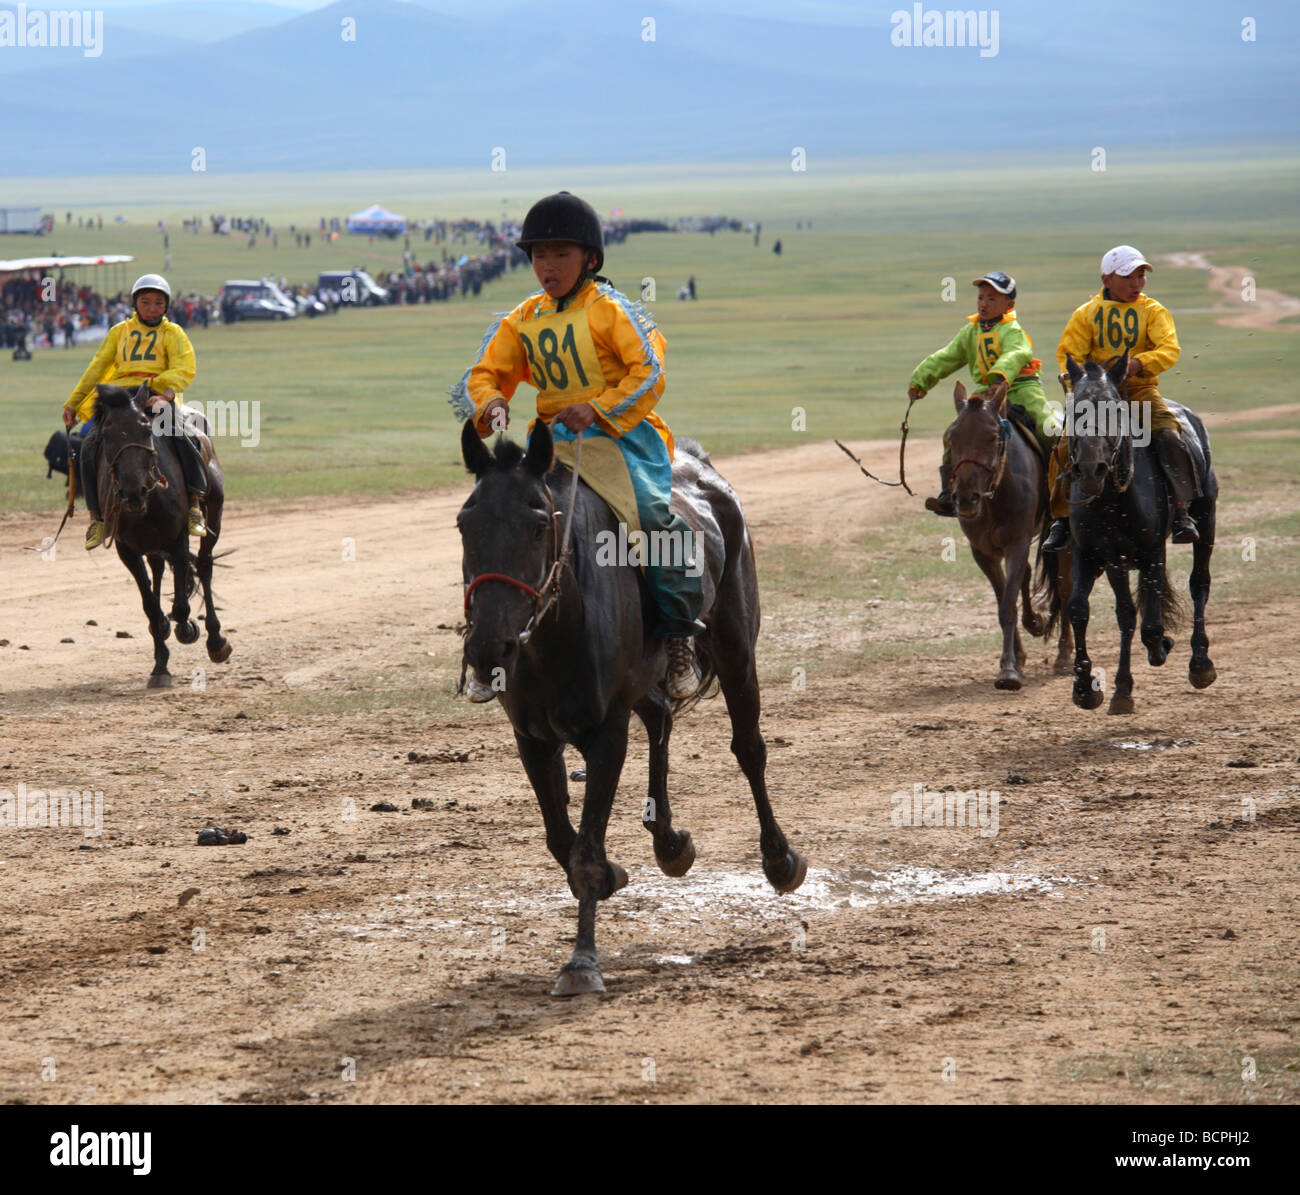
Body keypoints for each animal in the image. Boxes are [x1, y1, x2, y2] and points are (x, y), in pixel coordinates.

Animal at [91, 379, 231, 686]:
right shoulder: (126, 549)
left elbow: (180, 605)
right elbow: (150, 606)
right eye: (106, 434)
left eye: (146, 429)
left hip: (213, 514)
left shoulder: (178, 538)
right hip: (150, 545)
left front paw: (186, 629)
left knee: (205, 567)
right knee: (156, 573)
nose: (133, 491)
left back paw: (215, 640)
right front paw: (160, 663)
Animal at [454, 421, 800, 998]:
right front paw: (617, 875)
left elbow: (586, 852)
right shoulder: (533, 738)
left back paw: (778, 857)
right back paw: (670, 841)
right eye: (465, 524)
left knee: (749, 748)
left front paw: (581, 962)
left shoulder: (606, 733)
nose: (487, 649)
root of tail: (702, 468)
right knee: (660, 719)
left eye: (536, 523)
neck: (556, 631)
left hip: (736, 647)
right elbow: (562, 840)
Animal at [941, 379, 1071, 686]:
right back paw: (1034, 623)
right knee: (1029, 575)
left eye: (992, 438)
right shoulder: (983, 553)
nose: (966, 499)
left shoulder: (1016, 543)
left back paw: (1064, 655)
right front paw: (1016, 660)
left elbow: (1009, 605)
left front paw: (1009, 670)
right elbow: (1003, 601)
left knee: (1065, 589)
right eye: (952, 438)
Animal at [1060, 351, 1211, 712]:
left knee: (1199, 583)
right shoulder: (1095, 555)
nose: (1091, 469)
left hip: (1207, 518)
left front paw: (1162, 646)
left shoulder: (1153, 552)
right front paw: (1089, 689)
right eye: (1075, 410)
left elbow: (1152, 625)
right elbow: (1080, 609)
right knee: (1128, 613)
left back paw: (1200, 663)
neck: (1112, 501)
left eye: (1114, 409)